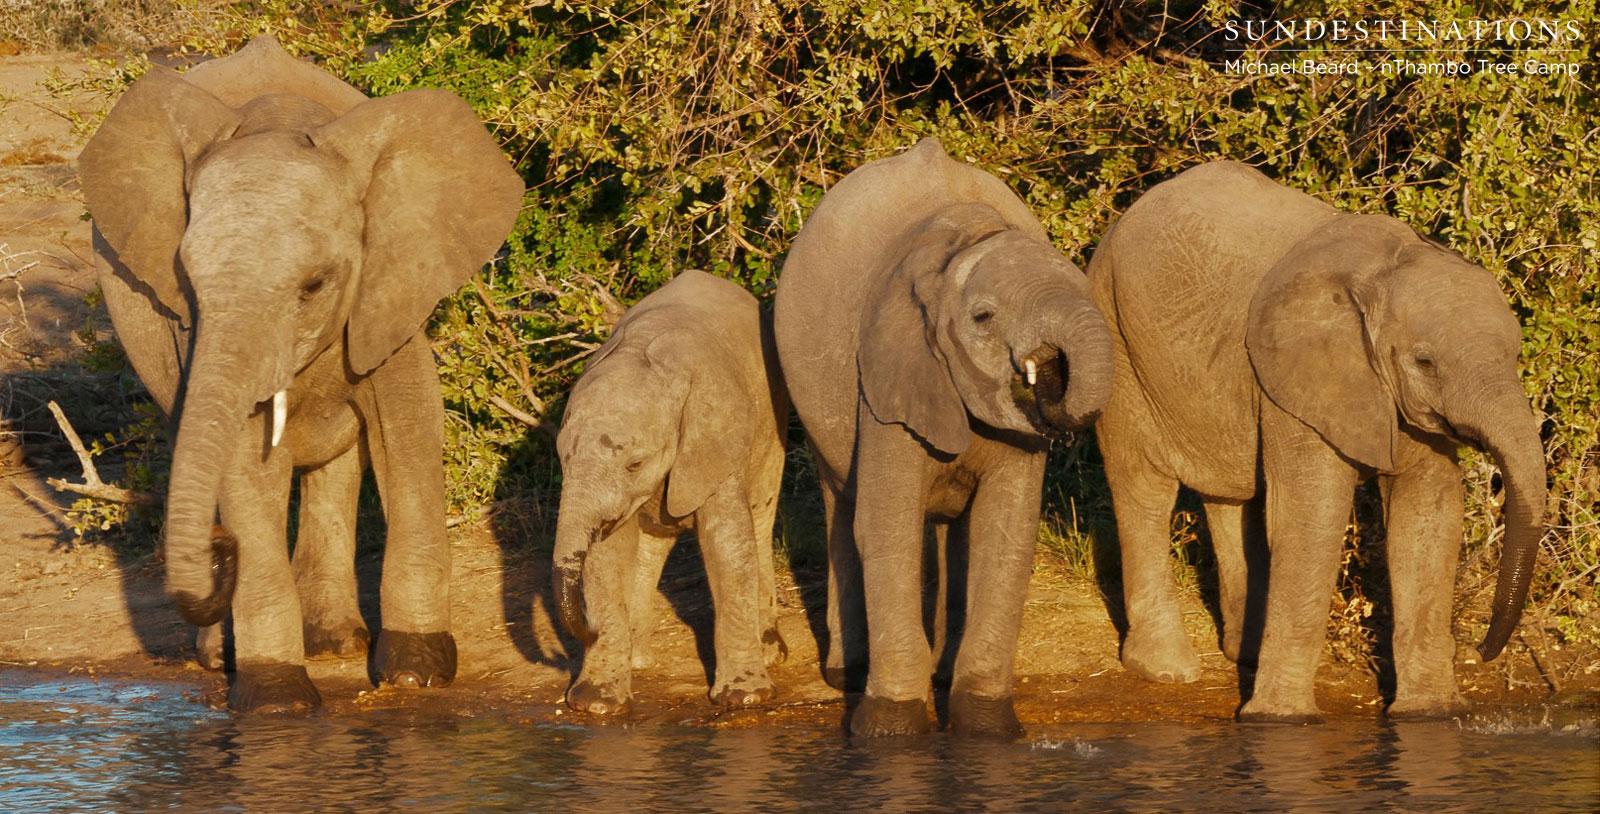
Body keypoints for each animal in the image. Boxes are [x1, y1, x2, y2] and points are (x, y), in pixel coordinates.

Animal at [78, 37, 524, 712]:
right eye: (189, 285)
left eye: (315, 286)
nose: (220, 551)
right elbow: (243, 457)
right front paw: (277, 702)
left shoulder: (390, 281)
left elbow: (410, 418)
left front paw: (416, 673)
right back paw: (229, 659)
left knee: (335, 465)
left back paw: (335, 643)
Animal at [552, 270, 789, 714]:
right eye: (562, 459)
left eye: (634, 464)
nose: (588, 630)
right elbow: (605, 555)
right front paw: (597, 704)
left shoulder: (716, 438)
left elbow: (728, 543)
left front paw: (744, 698)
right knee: (653, 542)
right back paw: (639, 660)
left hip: (775, 419)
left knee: (761, 519)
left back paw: (770, 652)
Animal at [773, 138, 1114, 738]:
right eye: (983, 317)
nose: (1048, 373)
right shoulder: (886, 373)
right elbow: (886, 524)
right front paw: (890, 731)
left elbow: (1006, 531)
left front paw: (985, 727)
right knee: (843, 507)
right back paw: (847, 675)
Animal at [1088, 161, 1545, 721]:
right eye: (1425, 362)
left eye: (1515, 352)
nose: (1480, 649)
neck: (1381, 275)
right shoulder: (1300, 375)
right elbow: (1314, 514)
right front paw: (1280, 721)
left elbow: (1428, 510)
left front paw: (1431, 714)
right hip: (1116, 339)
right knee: (1145, 485)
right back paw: (1166, 669)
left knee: (1231, 493)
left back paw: (1242, 653)